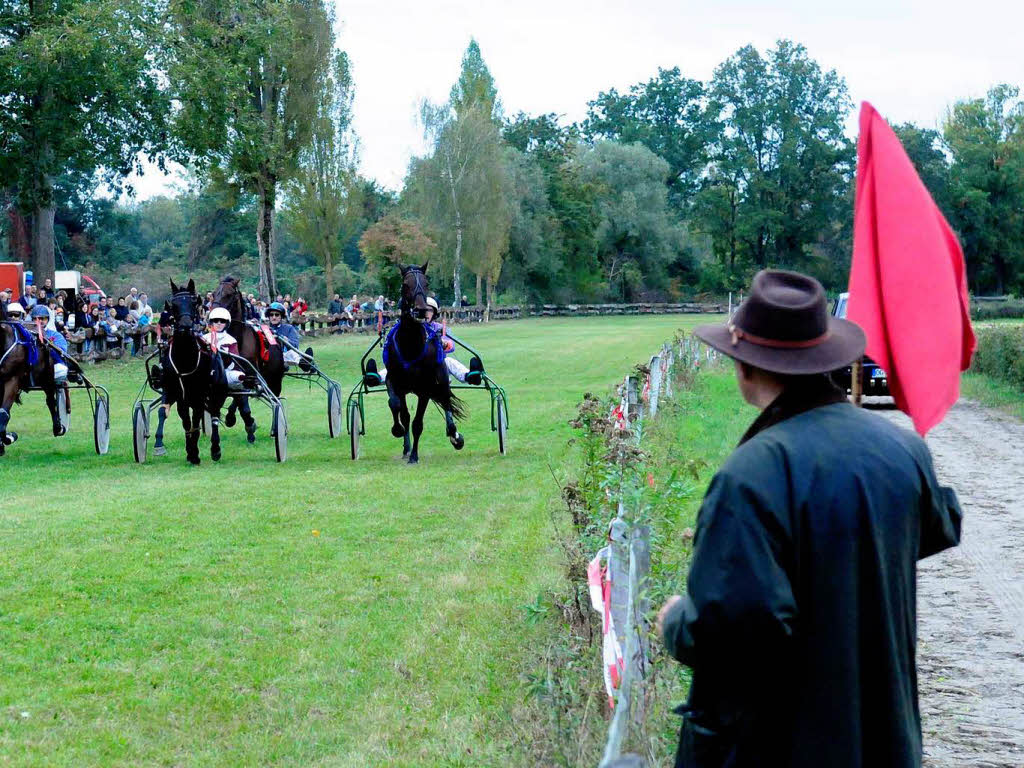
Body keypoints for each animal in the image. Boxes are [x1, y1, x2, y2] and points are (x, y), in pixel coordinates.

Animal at [0, 317, 66, 454]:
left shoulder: (12, 380)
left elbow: (3, 413)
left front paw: (9, 438)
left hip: (47, 376)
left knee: (51, 401)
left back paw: (58, 427)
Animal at [164, 280, 229, 466]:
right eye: (174, 304)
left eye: (194, 303)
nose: (185, 327)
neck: (186, 358)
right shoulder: (180, 397)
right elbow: (187, 423)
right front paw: (190, 452)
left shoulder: (199, 395)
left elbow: (196, 422)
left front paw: (195, 453)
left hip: (217, 392)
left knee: (214, 416)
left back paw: (215, 449)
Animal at [209, 278, 284, 444]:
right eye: (214, 293)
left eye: (229, 294)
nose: (213, 315)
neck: (238, 341)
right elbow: (238, 399)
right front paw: (234, 419)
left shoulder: (249, 376)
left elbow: (243, 402)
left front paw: (250, 426)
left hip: (275, 380)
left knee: (274, 398)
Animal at [382, 264, 466, 466]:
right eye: (405, 284)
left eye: (426, 283)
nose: (420, 310)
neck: (410, 345)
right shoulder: (394, 382)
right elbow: (398, 408)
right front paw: (400, 435)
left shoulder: (425, 389)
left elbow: (417, 423)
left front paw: (414, 456)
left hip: (441, 380)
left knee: (446, 402)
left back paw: (454, 434)